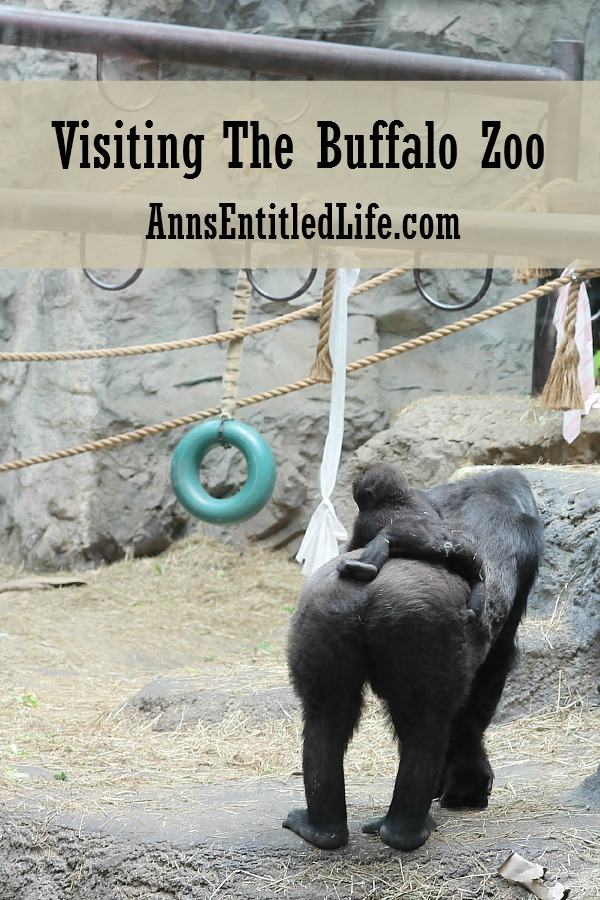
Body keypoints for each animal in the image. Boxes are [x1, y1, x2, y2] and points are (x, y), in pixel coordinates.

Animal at [338, 464, 488, 620]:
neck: (396, 497)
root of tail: (448, 545)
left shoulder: (362, 520)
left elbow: (354, 545)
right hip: (467, 549)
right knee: (478, 577)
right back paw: (474, 607)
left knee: (384, 538)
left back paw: (365, 568)